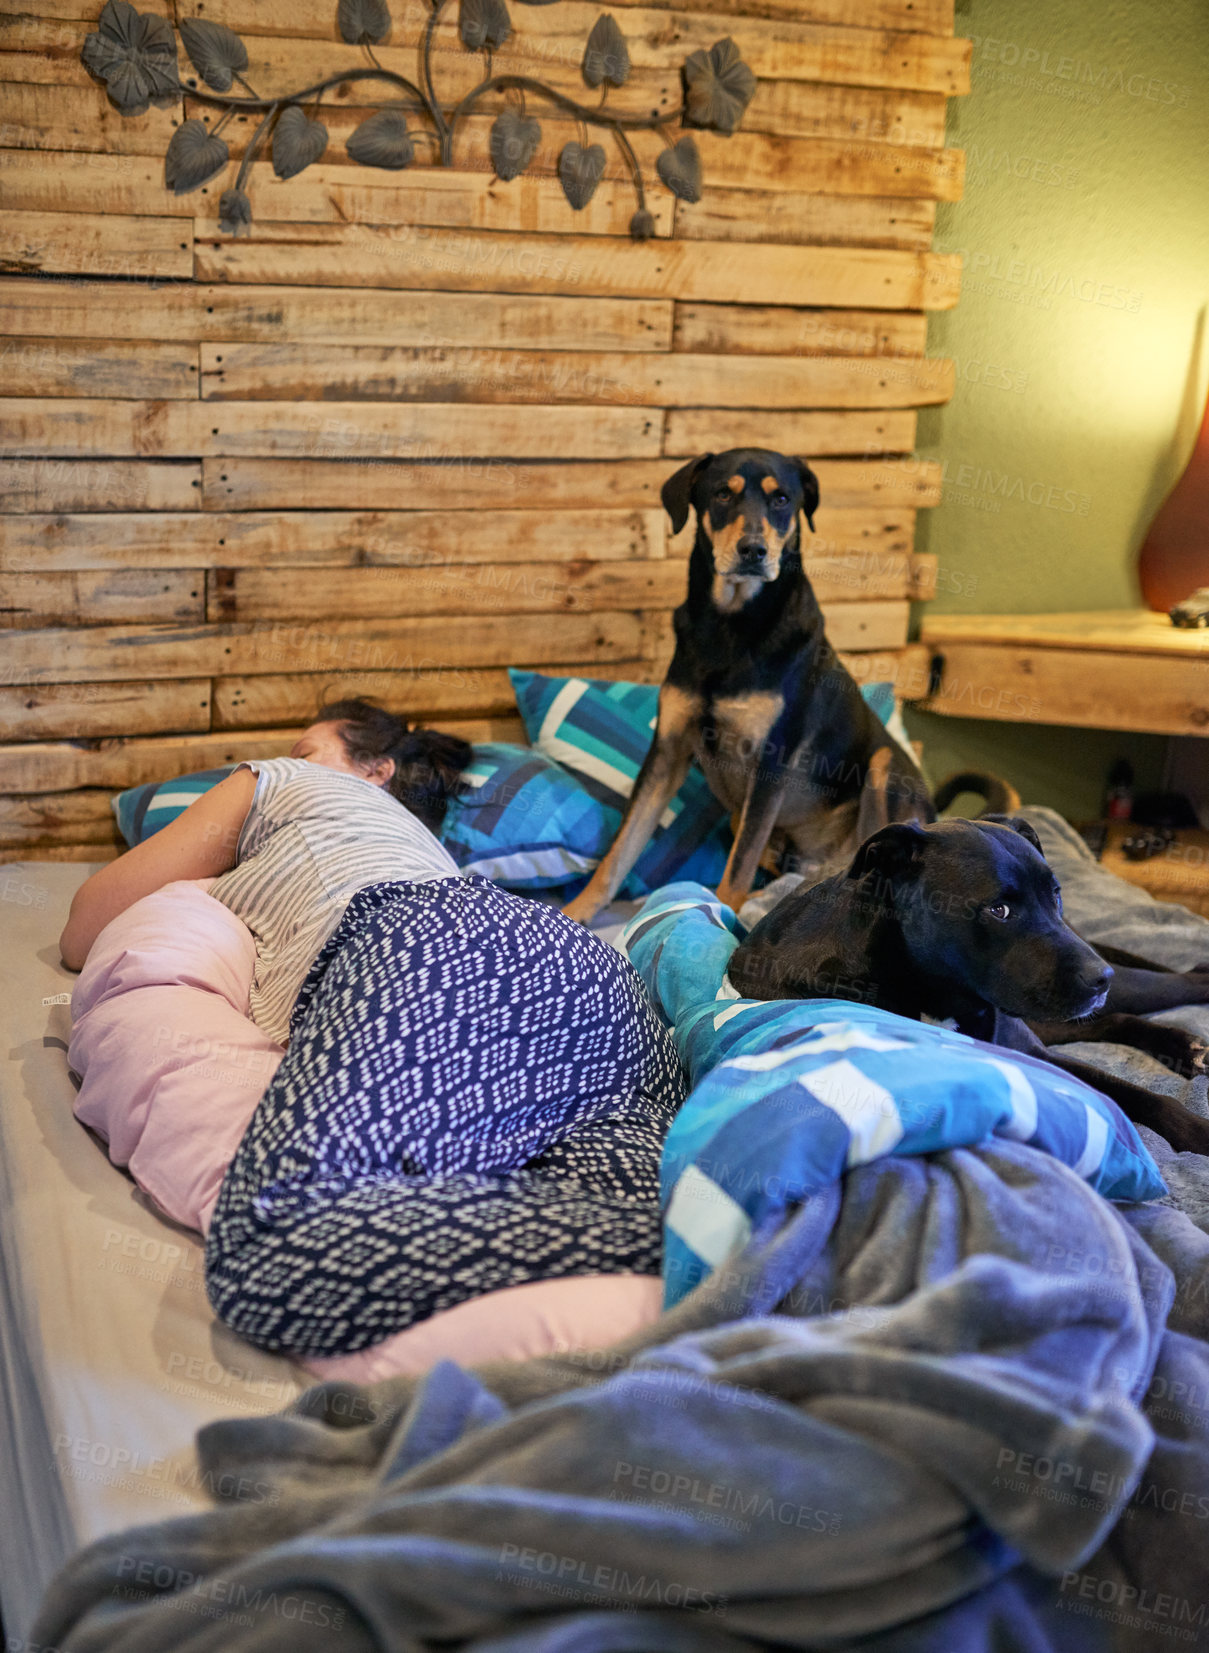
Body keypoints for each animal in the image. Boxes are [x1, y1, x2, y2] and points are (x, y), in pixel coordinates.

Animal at [562, 446, 932, 925]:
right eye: (723, 494)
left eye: (782, 500)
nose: (753, 550)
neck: (732, 623)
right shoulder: (667, 749)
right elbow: (621, 849)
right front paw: (576, 910)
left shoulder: (770, 760)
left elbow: (738, 864)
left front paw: (724, 916)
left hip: (885, 768)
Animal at [727, 816, 1209, 1157]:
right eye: (999, 910)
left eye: (1055, 893)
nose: (1100, 978)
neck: (938, 993)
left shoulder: (1033, 1051)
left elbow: (1143, 1096)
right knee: (1119, 1014)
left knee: (1169, 986)